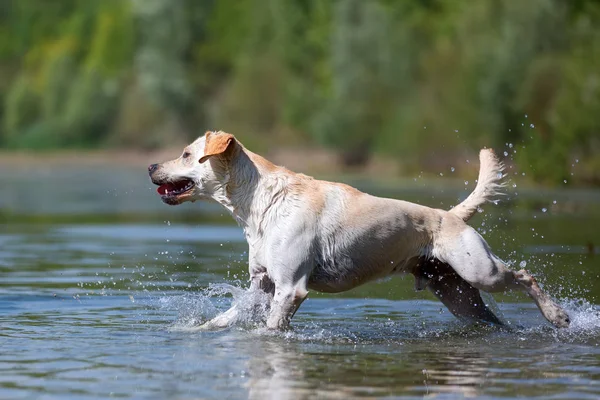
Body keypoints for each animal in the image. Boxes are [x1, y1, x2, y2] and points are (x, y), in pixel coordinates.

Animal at [148, 132, 568, 332]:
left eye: (187, 154)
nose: (151, 165)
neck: (261, 204)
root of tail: (451, 215)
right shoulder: (263, 286)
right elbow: (226, 318)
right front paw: (194, 330)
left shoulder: (290, 288)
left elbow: (270, 327)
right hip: (456, 292)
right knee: (492, 319)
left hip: (480, 269)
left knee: (525, 275)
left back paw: (558, 317)